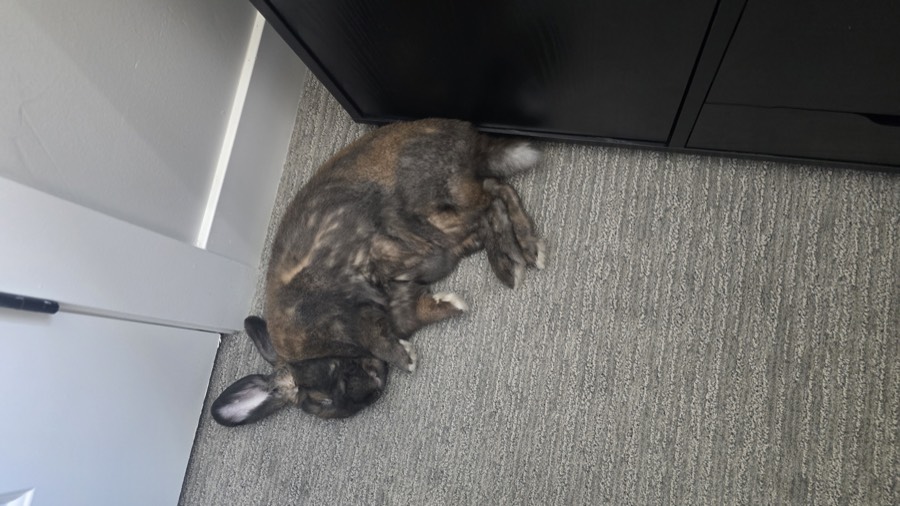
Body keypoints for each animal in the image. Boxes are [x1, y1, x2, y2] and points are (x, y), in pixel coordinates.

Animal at [211, 118, 545, 426]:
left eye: (329, 383)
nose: (371, 388)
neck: (315, 348)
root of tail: (463, 133)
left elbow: (373, 331)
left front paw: (405, 359)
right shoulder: (401, 301)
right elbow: (413, 312)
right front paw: (448, 307)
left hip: (434, 202)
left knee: (491, 201)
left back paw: (514, 259)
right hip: (448, 211)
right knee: (495, 193)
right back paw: (523, 252)